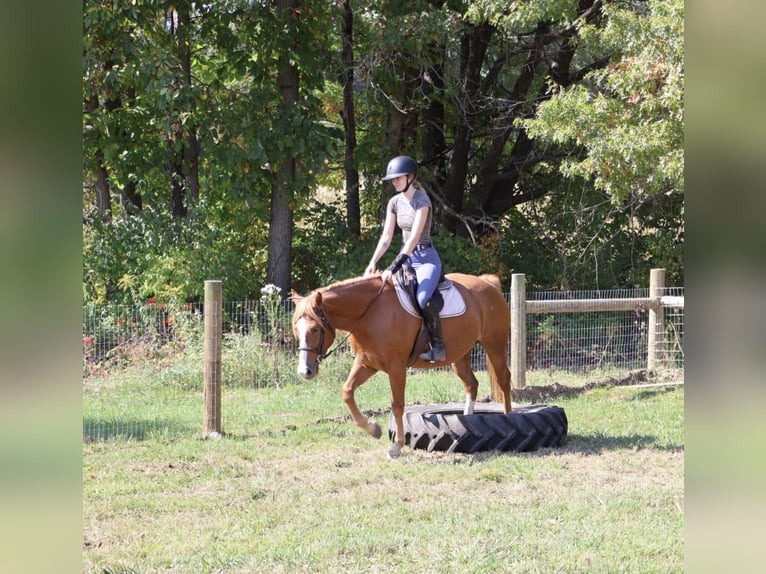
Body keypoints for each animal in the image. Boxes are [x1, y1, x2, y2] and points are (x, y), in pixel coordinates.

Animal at [290, 272, 512, 459]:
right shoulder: (366, 364)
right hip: (459, 355)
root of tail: (487, 282)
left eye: (315, 329)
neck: (370, 313)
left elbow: (397, 405)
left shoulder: (396, 368)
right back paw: (468, 419)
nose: (304, 371)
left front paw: (396, 446)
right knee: (471, 384)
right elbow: (347, 391)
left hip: (494, 343)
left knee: (503, 380)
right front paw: (373, 429)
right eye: (296, 329)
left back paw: (509, 419)